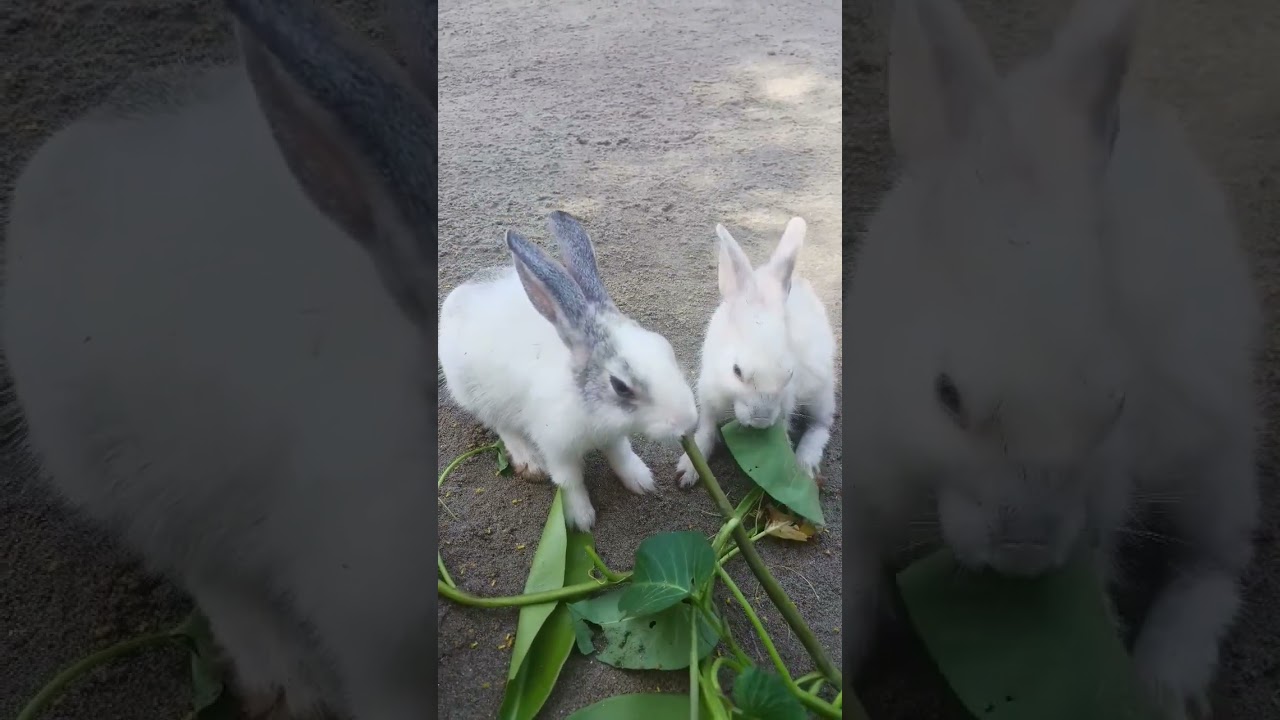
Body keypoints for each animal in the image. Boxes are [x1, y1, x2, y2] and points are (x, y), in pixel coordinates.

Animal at [437, 211, 699, 531]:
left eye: (665, 347)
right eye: (620, 386)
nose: (688, 422)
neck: (589, 408)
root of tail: (459, 294)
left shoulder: (614, 436)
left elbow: (622, 456)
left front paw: (641, 481)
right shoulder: (557, 447)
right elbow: (569, 481)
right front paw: (581, 519)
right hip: (477, 394)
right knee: (504, 427)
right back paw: (529, 461)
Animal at [674, 217, 837, 487]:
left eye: (789, 374)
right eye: (736, 371)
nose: (761, 421)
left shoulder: (787, 403)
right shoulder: (708, 395)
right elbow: (705, 431)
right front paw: (687, 470)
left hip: (821, 392)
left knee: (821, 425)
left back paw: (805, 463)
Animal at [841, 1, 1261, 718]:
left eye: (1115, 405)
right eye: (946, 395)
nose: (1025, 553)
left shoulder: (1110, 493)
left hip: (1213, 453)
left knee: (1215, 562)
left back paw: (1165, 677)